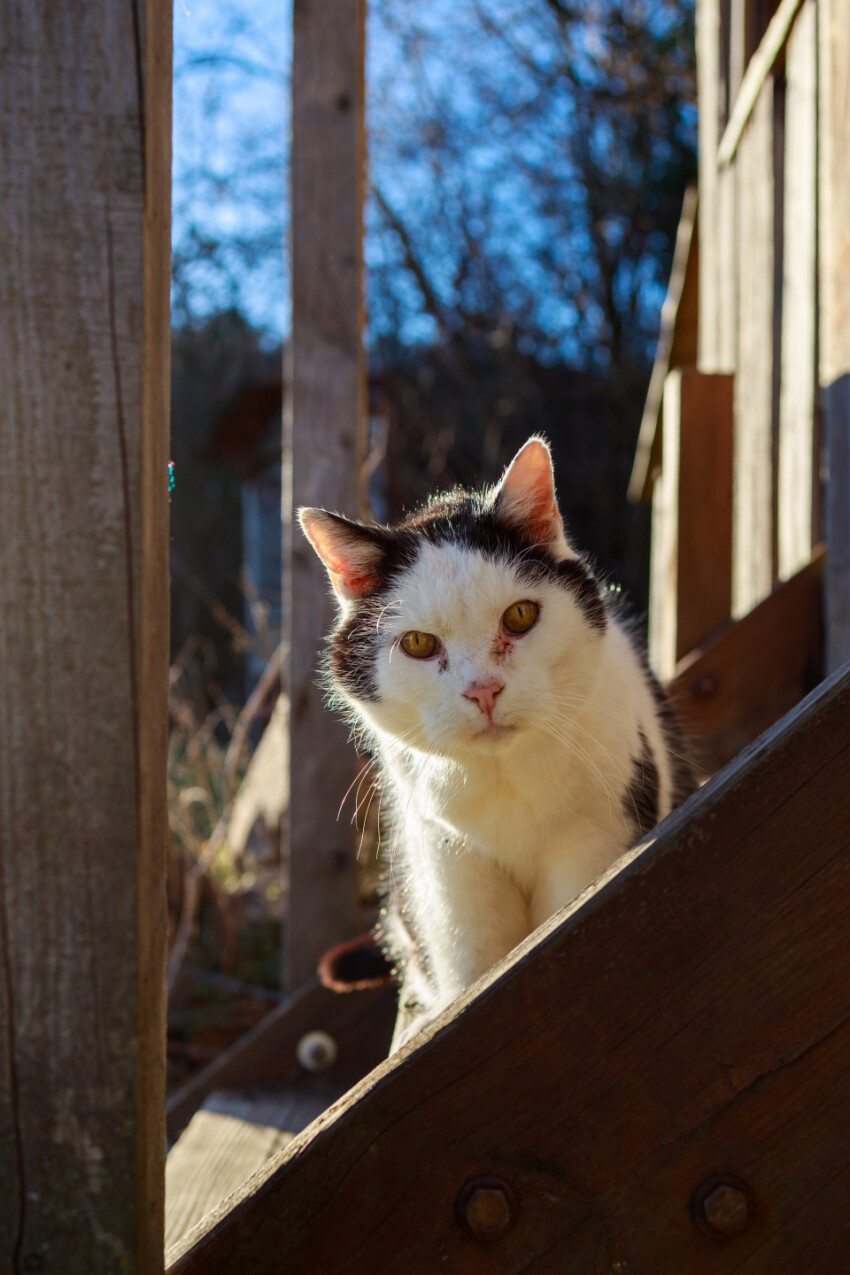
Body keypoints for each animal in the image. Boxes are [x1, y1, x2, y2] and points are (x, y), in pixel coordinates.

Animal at [302, 433, 693, 1050]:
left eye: (520, 616)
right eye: (418, 644)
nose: (483, 690)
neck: (504, 782)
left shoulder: (595, 840)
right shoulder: (448, 868)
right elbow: (474, 983)